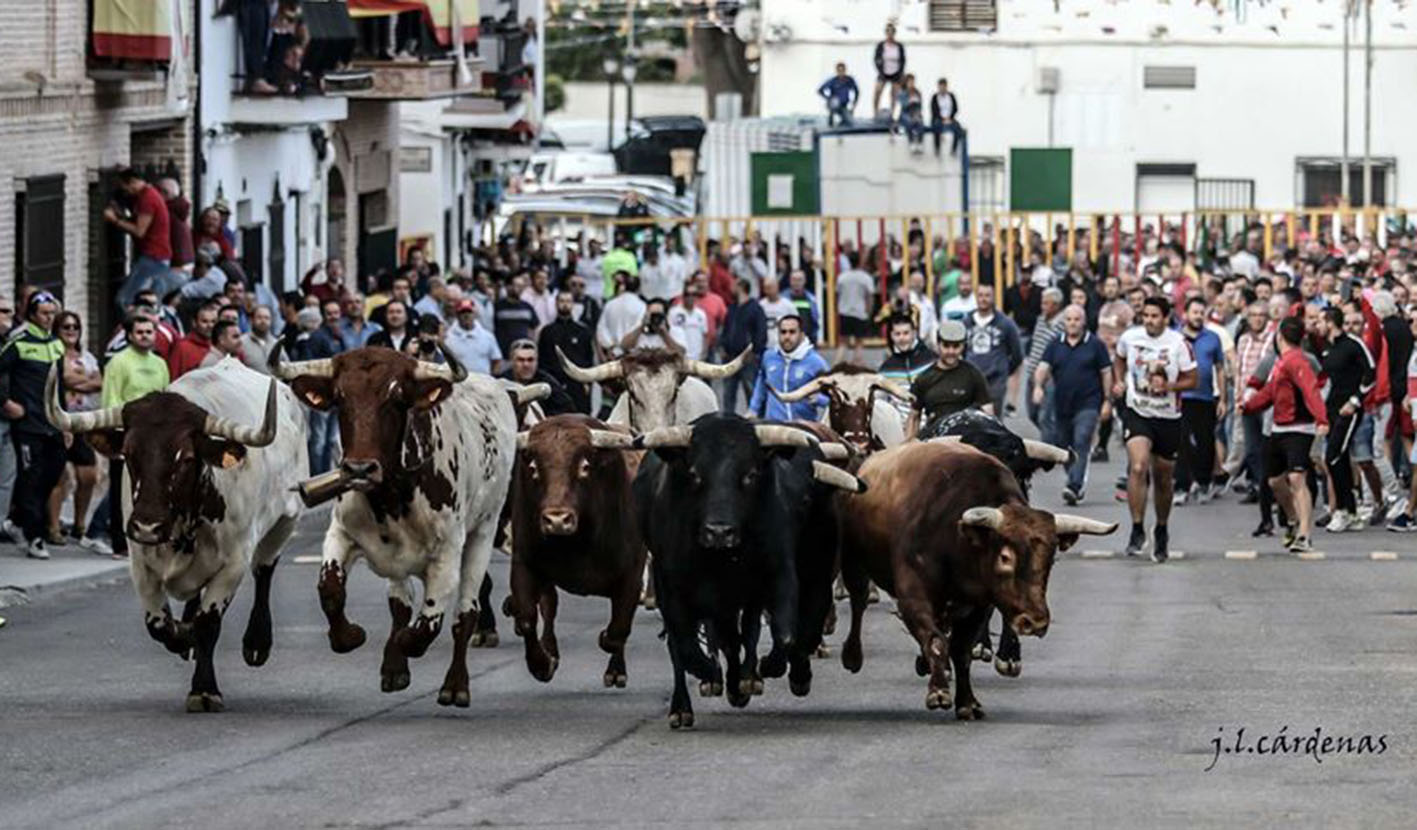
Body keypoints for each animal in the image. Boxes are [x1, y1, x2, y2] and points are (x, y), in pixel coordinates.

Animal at [507, 413, 646, 685]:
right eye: (534, 468)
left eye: (584, 466)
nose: (557, 520)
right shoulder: (524, 563)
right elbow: (527, 618)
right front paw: (541, 664)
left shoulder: (632, 574)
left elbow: (618, 629)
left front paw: (610, 653)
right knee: (549, 606)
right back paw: (551, 650)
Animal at [833, 439, 1110, 716]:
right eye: (1005, 557)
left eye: (1050, 559)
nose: (1035, 621)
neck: (957, 541)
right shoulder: (913, 596)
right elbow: (936, 641)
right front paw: (939, 692)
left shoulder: (979, 605)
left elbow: (960, 650)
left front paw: (967, 702)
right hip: (854, 564)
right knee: (858, 601)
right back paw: (852, 656)